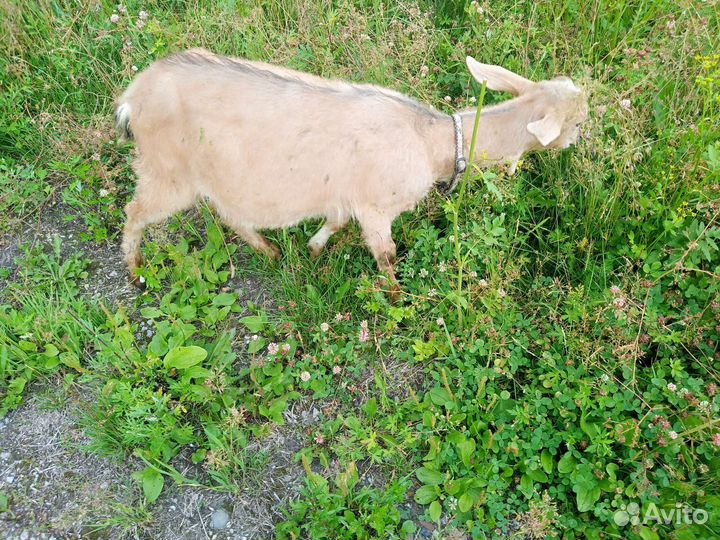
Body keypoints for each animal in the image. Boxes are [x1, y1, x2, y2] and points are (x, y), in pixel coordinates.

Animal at [116, 48, 588, 288]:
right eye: (578, 121)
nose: (583, 137)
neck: (431, 142)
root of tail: (132, 98)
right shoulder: (376, 207)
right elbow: (386, 254)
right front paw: (398, 296)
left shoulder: (347, 195)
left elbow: (337, 221)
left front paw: (313, 248)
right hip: (167, 169)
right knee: (135, 212)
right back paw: (136, 269)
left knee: (227, 212)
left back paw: (268, 251)